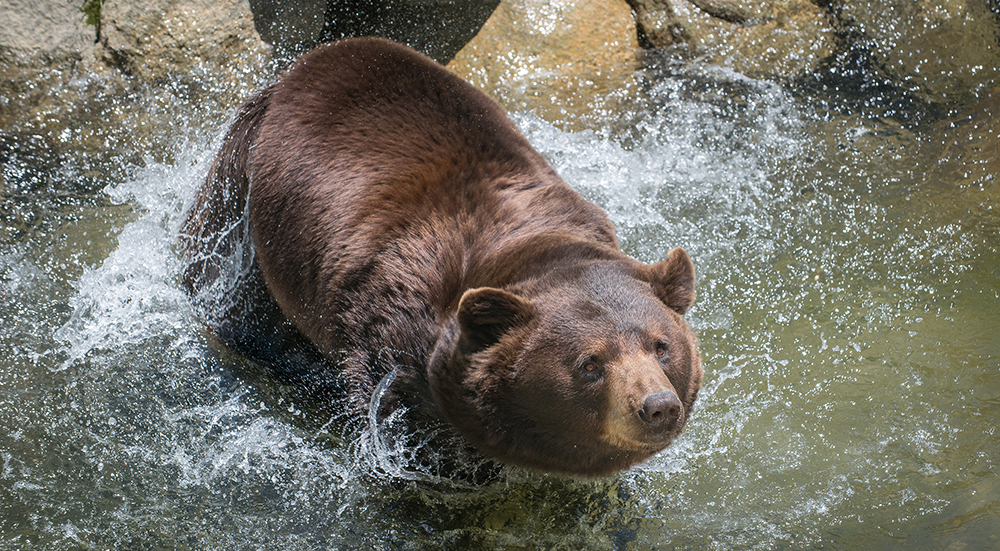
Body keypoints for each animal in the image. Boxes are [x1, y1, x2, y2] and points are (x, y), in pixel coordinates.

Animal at [181, 37, 702, 477]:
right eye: (590, 363)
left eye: (661, 345)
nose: (657, 406)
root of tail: (301, 66)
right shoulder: (394, 314)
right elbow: (393, 408)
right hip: (243, 201)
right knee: (227, 286)